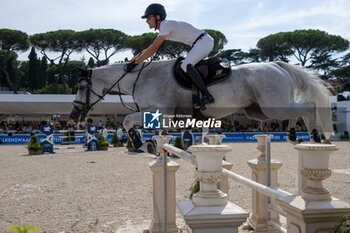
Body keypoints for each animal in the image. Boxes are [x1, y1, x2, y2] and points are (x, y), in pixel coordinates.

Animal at [70, 59, 334, 148]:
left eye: (81, 87)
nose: (74, 115)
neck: (141, 77)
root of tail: (276, 64)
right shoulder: (167, 116)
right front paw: (149, 144)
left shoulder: (160, 111)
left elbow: (126, 121)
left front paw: (137, 141)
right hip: (259, 111)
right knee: (299, 110)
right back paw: (295, 135)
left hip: (273, 106)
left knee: (309, 107)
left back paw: (313, 135)